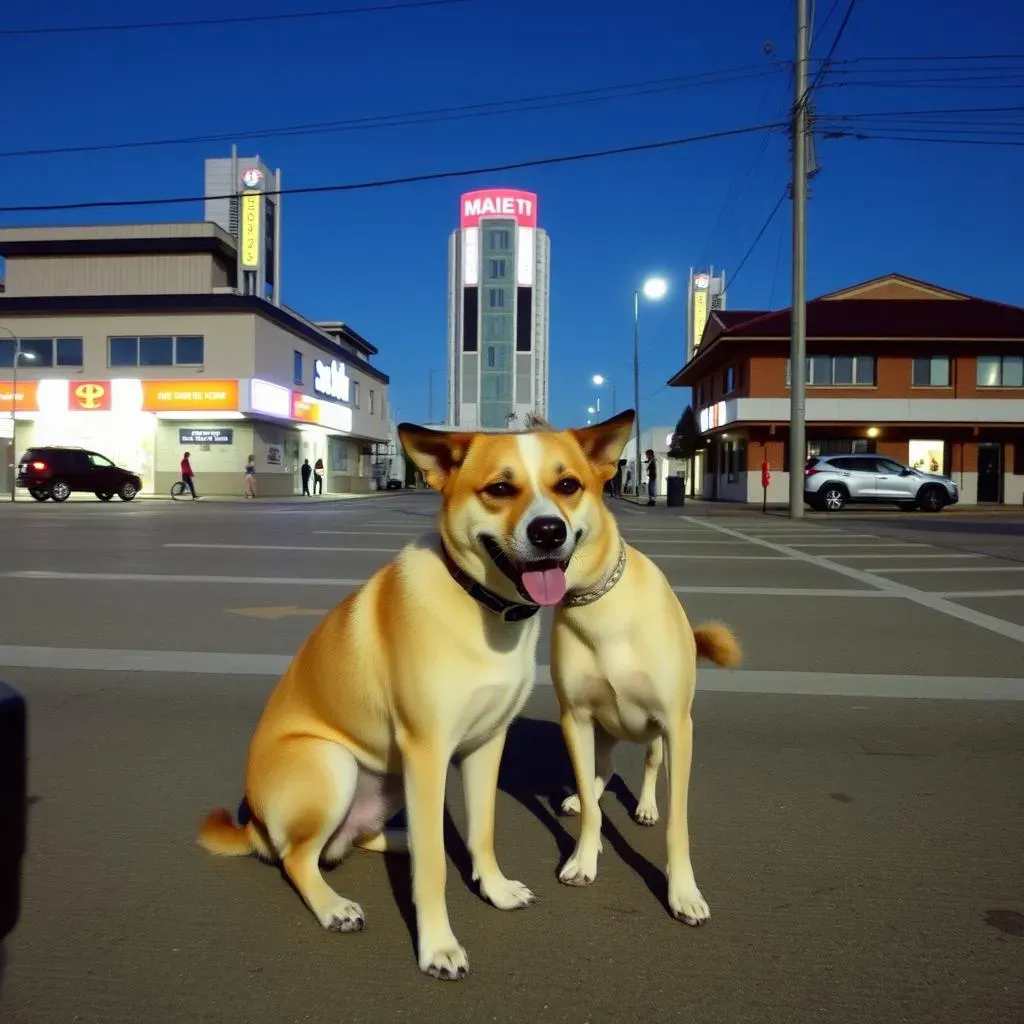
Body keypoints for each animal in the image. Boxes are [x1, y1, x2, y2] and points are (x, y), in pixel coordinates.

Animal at [197, 421, 593, 974]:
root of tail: (253, 825)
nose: (549, 532)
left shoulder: (486, 744)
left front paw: (493, 887)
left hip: (385, 780)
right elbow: (432, 874)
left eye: (568, 486)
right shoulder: (427, 751)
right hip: (332, 762)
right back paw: (335, 905)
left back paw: (412, 838)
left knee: (352, 840)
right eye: (499, 488)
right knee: (299, 857)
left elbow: (483, 830)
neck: (476, 601)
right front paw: (438, 947)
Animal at [548, 411, 741, 925]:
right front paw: (584, 857)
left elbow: (678, 822)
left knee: (649, 767)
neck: (599, 606)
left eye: (568, 485)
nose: (543, 532)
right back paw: (578, 798)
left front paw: (683, 891)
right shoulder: (575, 719)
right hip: (600, 732)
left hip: (656, 734)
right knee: (602, 772)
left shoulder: (676, 726)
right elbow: (592, 802)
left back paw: (647, 806)